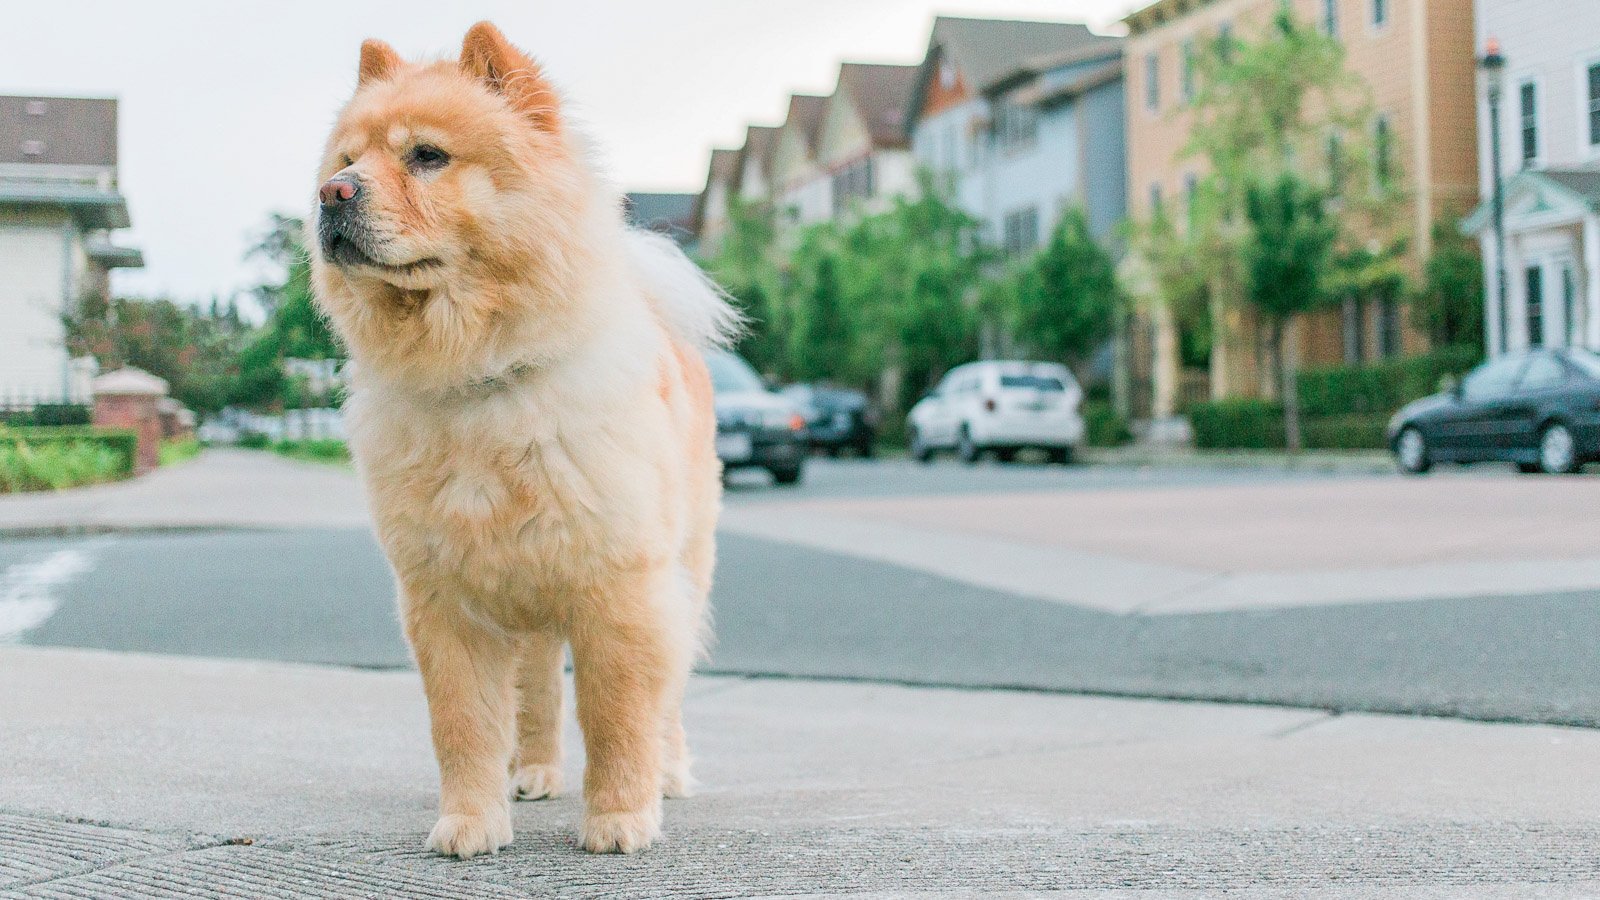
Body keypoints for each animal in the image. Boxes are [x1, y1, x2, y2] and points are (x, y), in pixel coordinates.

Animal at [307, 17, 736, 851]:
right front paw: (470, 824)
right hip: (528, 605)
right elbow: (466, 727)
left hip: (682, 575)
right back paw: (532, 776)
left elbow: (617, 716)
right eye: (347, 161)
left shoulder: (618, 588)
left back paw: (668, 775)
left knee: (664, 699)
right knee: (536, 694)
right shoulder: (446, 603)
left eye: (426, 156)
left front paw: (621, 819)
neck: (480, 377)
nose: (331, 195)